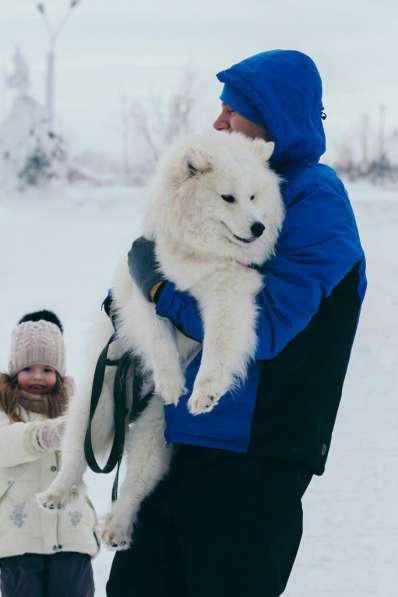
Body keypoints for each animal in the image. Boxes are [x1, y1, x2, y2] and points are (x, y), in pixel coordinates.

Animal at [35, 130, 284, 548]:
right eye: (228, 197)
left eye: (253, 196)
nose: (258, 229)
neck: (198, 254)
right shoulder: (145, 285)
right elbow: (157, 334)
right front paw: (171, 381)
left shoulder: (229, 291)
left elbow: (219, 344)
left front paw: (204, 393)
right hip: (99, 404)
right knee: (75, 456)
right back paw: (55, 494)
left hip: (153, 429)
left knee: (135, 483)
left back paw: (117, 527)